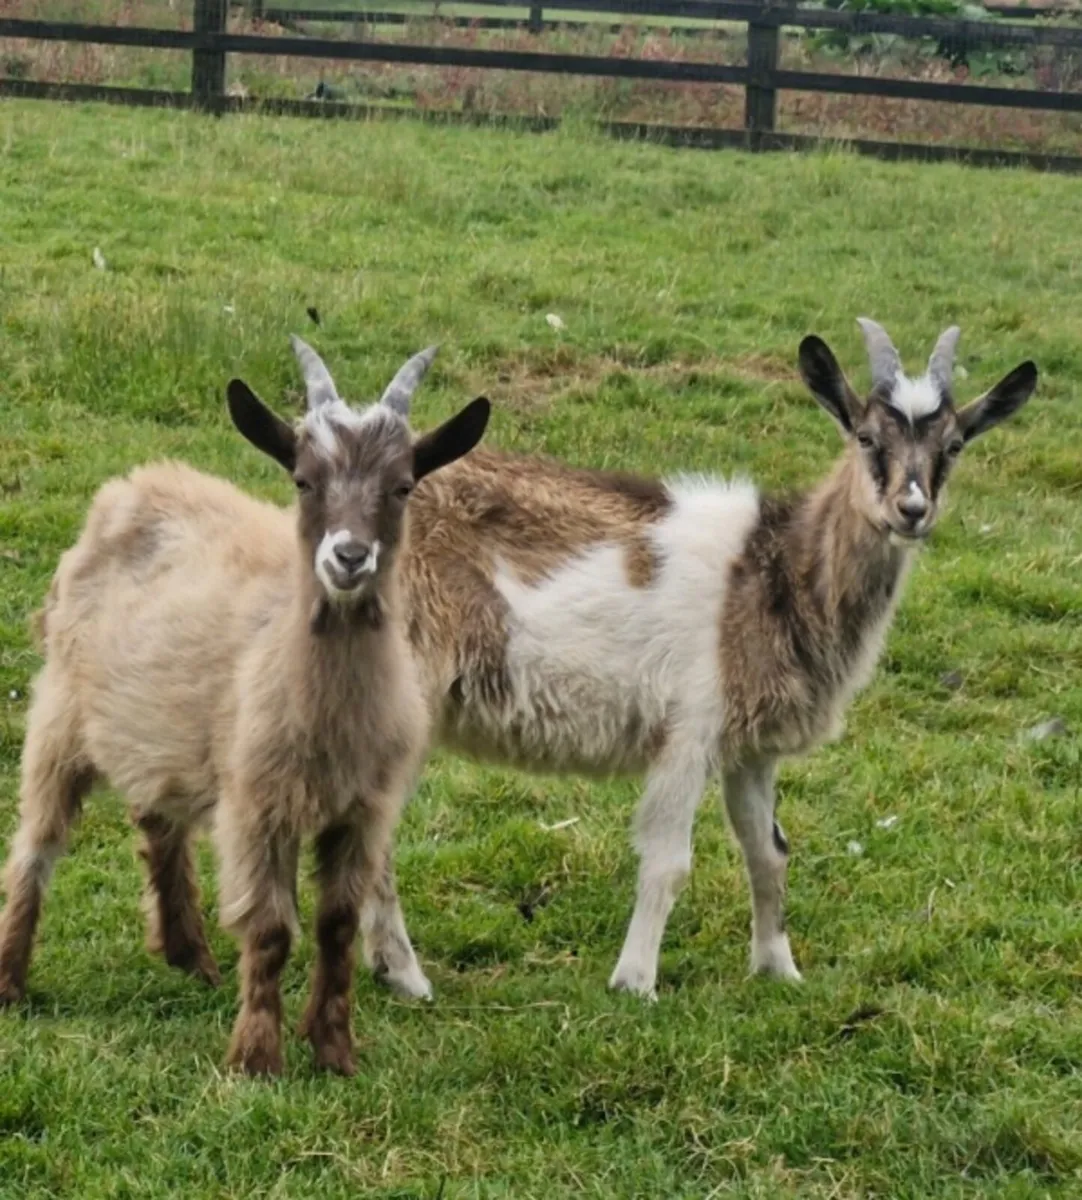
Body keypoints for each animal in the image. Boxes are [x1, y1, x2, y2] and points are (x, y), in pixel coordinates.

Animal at [0, 338, 490, 1074]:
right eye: (304, 481)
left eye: (403, 485)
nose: (349, 557)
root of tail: (132, 485)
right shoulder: (258, 804)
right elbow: (270, 929)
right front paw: (257, 1058)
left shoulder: (363, 812)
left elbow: (337, 927)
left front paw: (333, 1050)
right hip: (59, 715)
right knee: (35, 846)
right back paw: (11, 981)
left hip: (164, 732)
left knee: (158, 823)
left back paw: (189, 956)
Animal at [368, 319, 1037, 999]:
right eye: (866, 435)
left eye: (954, 445)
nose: (911, 510)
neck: (775, 573)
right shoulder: (691, 725)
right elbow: (668, 862)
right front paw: (635, 983)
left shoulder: (751, 746)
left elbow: (769, 850)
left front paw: (778, 969)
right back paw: (409, 977)